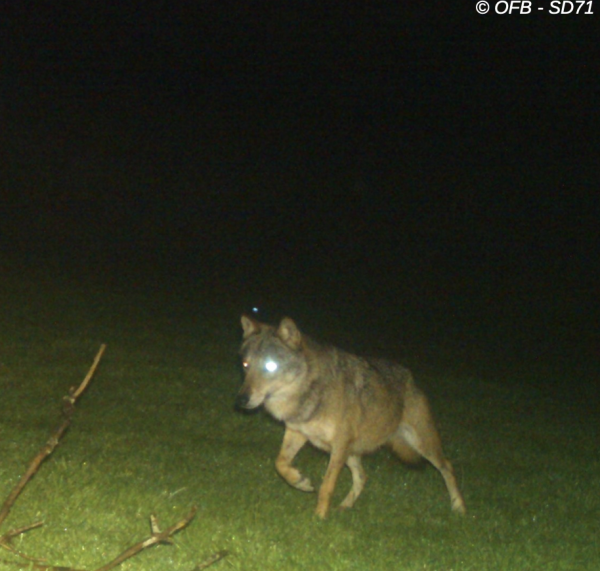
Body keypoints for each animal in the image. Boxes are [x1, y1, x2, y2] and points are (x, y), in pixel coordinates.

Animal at [233, 316, 464, 520]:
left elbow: (326, 486)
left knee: (448, 466)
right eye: (245, 365)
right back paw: (344, 506)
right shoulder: (297, 432)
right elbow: (280, 463)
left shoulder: (339, 445)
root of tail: (411, 378)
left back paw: (459, 507)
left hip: (422, 445)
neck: (309, 392)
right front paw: (300, 482)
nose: (241, 399)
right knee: (362, 477)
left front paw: (319, 519)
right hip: (353, 453)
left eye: (270, 366)